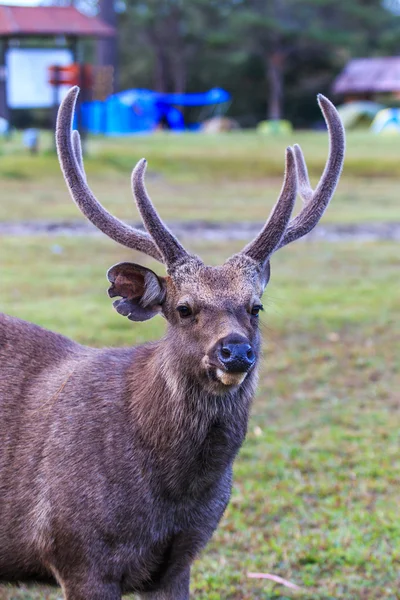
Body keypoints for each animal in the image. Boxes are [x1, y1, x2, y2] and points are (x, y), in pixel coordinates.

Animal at [0, 86, 344, 596]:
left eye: (256, 306)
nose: (235, 351)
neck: (172, 497)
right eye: (183, 308)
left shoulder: (181, 559)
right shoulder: (77, 553)